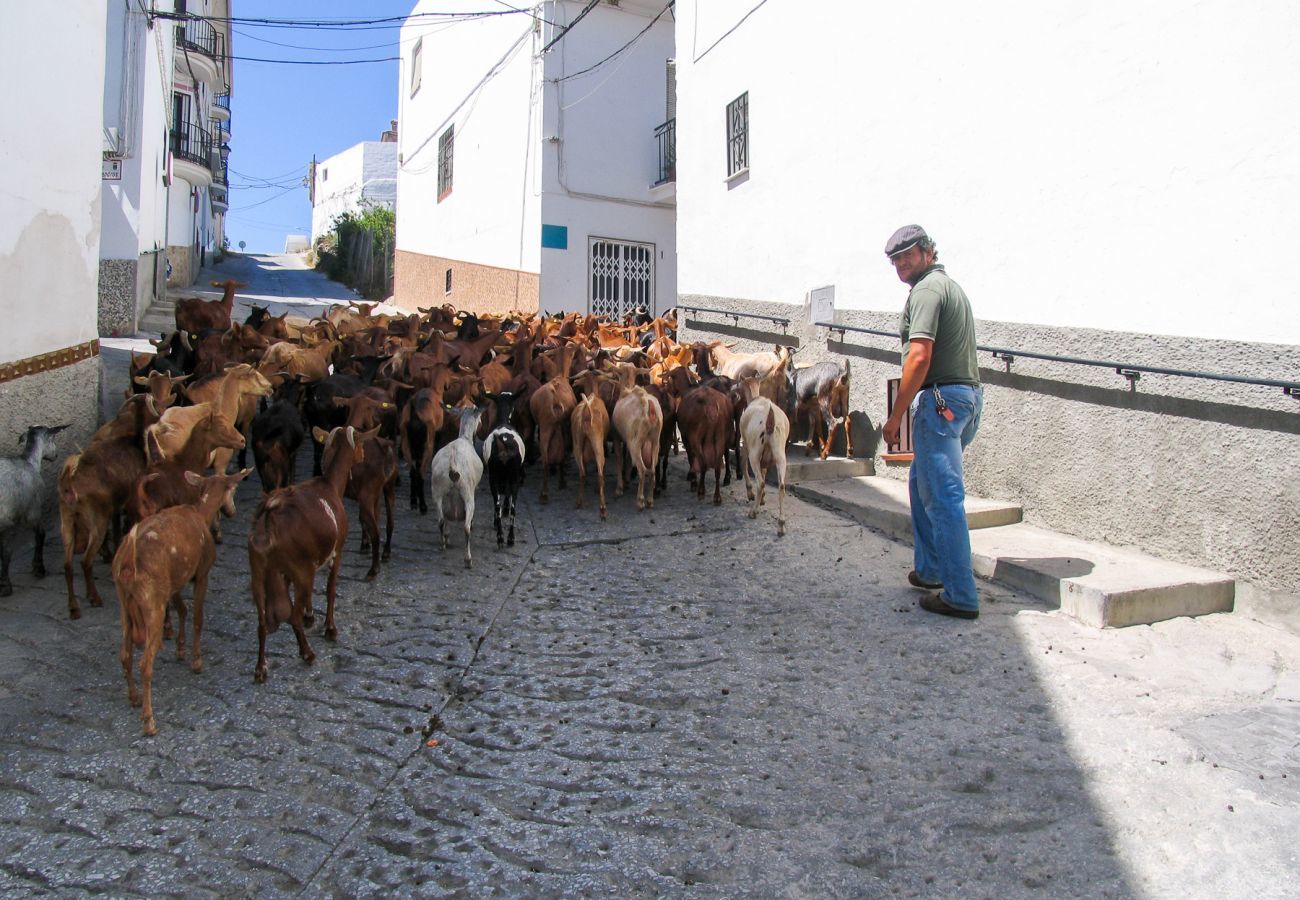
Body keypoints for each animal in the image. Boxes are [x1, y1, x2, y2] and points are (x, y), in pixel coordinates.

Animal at [0, 423, 69, 598]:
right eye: (53, 438)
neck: (29, 461)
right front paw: (38, 568)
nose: (55, 455)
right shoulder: (31, 512)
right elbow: (39, 535)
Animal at [428, 403, 486, 567]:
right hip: (467, 493)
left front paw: (447, 537)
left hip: (437, 491)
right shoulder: (474, 489)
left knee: (441, 520)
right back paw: (468, 559)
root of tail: (452, 466)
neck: (464, 437)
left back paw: (443, 543)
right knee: (466, 528)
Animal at [480, 390, 525, 543]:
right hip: (513, 477)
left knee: (497, 504)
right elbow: (507, 495)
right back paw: (508, 537)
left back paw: (501, 535)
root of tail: (503, 445)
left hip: (495, 476)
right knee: (513, 507)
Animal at [743, 392, 790, 533]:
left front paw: (752, 495)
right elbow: (764, 471)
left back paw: (753, 512)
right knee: (781, 486)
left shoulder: (746, 446)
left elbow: (743, 464)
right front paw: (762, 499)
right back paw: (781, 525)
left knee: (761, 482)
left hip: (754, 452)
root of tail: (770, 420)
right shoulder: (766, 460)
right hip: (780, 454)